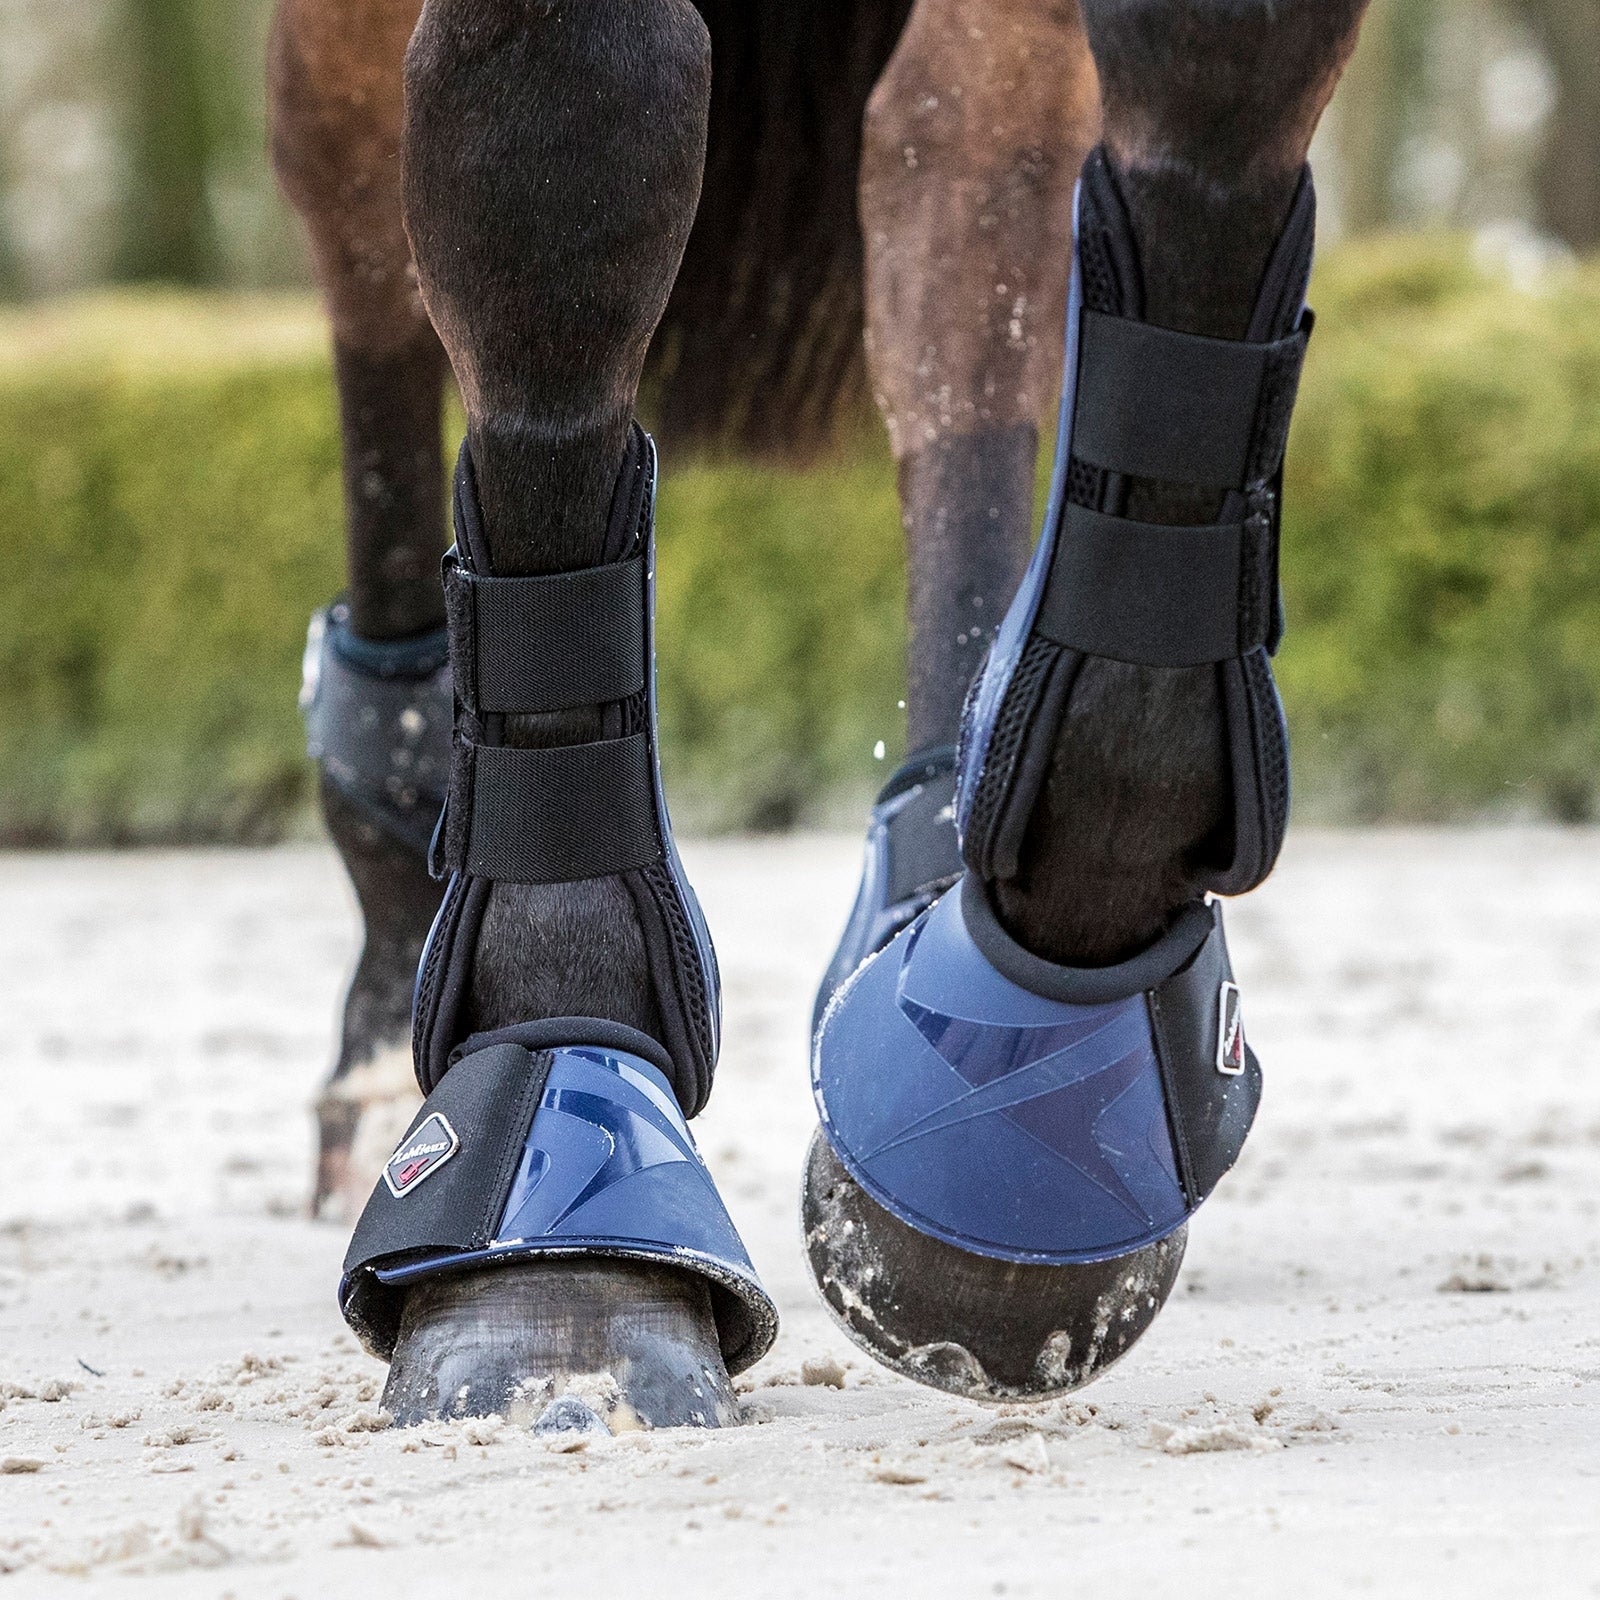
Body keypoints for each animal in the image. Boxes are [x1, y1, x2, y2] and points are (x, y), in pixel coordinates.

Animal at [269, 0, 1369, 1428]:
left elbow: (1198, 121)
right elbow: (564, 157)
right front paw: (555, 1170)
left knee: (959, 181)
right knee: (349, 193)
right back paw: (393, 962)